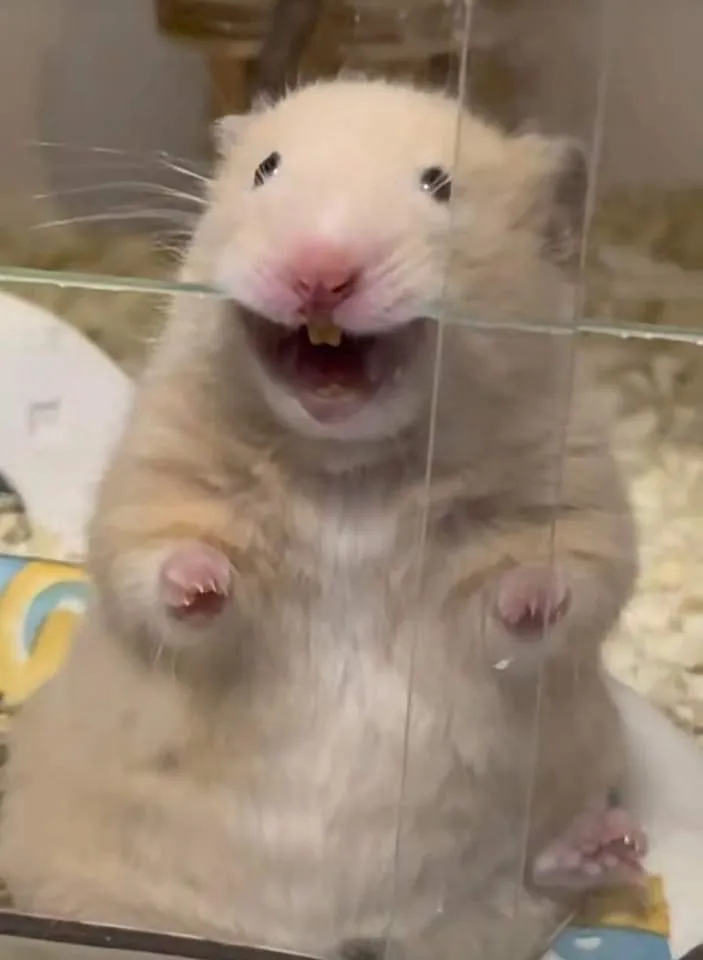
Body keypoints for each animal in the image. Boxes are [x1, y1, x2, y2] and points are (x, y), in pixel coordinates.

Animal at [0, 78, 640, 960]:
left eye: (439, 184)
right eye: (265, 170)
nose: (320, 275)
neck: (349, 468)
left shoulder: (570, 485)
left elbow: (562, 579)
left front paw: (528, 594)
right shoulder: (154, 473)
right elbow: (156, 560)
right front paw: (204, 582)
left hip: (490, 907)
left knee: (531, 886)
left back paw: (603, 847)